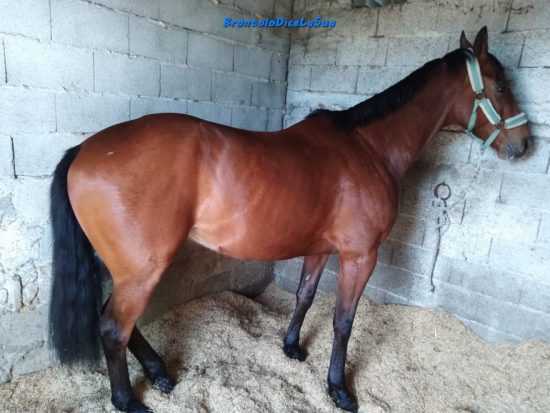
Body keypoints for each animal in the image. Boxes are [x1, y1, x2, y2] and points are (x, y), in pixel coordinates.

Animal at [49, 27, 532, 410]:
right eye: (501, 86)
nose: (525, 144)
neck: (368, 149)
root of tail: (84, 150)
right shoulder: (360, 255)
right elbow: (343, 321)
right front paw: (339, 389)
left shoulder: (321, 249)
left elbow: (304, 296)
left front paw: (292, 348)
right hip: (142, 269)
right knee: (114, 326)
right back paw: (128, 400)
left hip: (128, 269)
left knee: (119, 322)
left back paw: (158, 371)